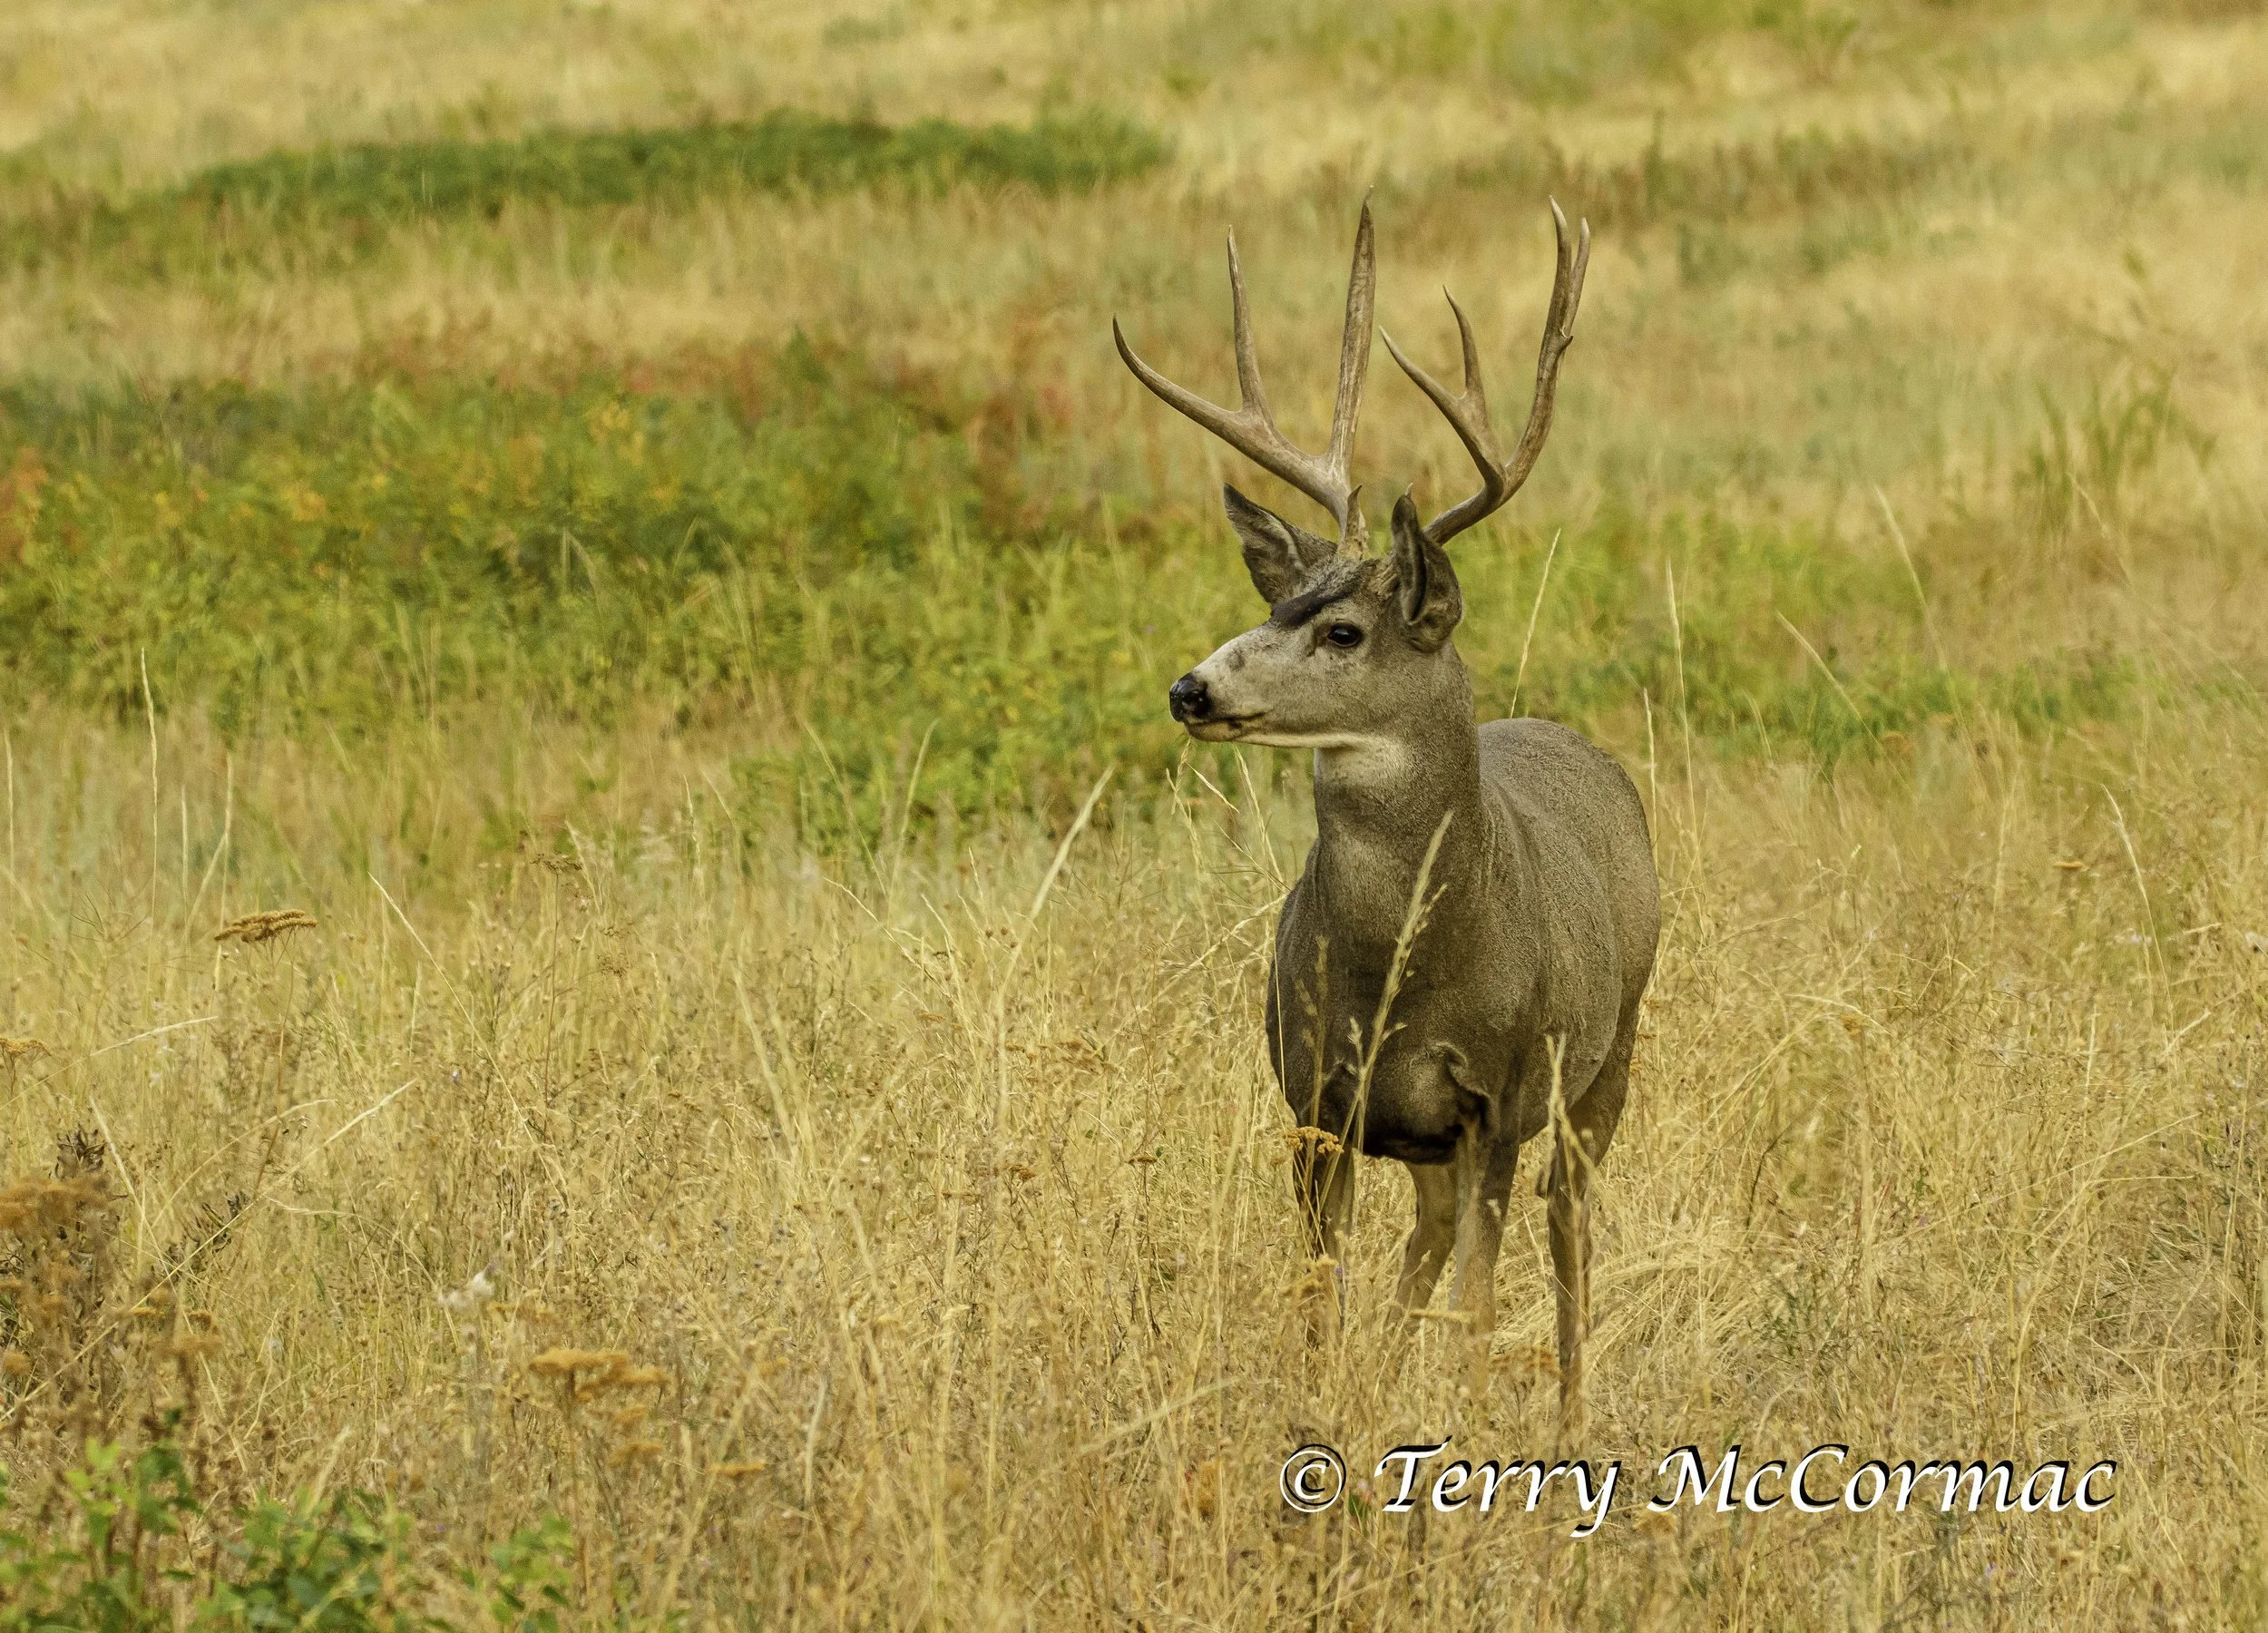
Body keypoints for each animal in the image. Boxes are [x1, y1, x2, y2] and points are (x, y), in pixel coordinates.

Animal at [1113, 202, 1659, 1435]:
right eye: (1274, 603)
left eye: (1343, 631)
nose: (1190, 689)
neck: (1407, 969)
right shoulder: (1314, 1095)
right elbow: (1323, 1292)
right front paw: (1323, 1412)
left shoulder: (1499, 1094)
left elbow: (1479, 1306)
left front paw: (1463, 1422)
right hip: (1421, 1136)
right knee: (1429, 1233)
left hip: (1611, 1051)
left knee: (1568, 1230)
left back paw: (1571, 1416)